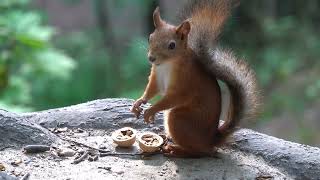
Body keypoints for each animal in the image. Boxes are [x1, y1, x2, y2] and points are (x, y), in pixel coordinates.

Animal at [131, 0, 258, 157]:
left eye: (172, 45)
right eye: (150, 37)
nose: (151, 58)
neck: (167, 64)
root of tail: (211, 140)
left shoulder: (185, 81)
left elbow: (174, 97)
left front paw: (151, 111)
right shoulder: (156, 75)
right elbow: (151, 89)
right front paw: (139, 102)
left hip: (179, 120)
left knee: (198, 151)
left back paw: (175, 150)